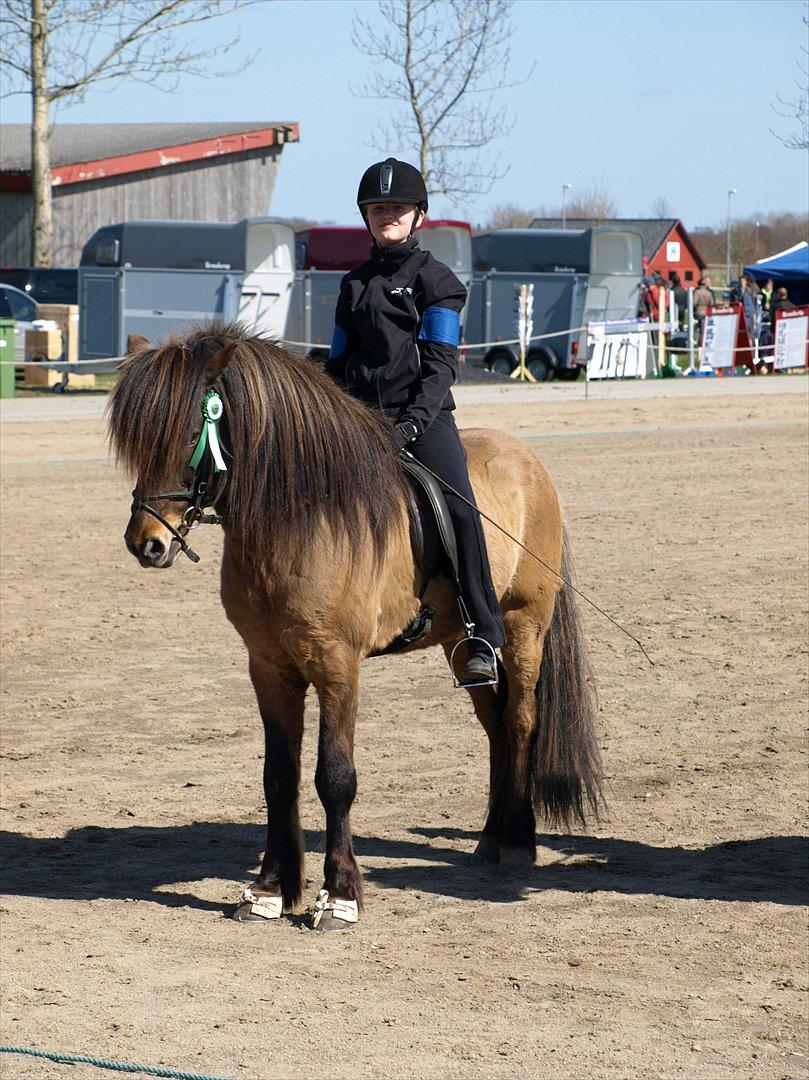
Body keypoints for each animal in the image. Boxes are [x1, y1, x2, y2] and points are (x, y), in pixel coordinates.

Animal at [109, 321, 600, 928]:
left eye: (187, 436)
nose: (146, 543)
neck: (300, 520)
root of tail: (528, 460)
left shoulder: (337, 666)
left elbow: (335, 776)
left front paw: (339, 895)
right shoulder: (269, 668)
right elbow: (279, 776)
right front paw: (270, 890)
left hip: (525, 626)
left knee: (520, 721)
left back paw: (517, 843)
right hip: (464, 646)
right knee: (495, 723)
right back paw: (489, 839)